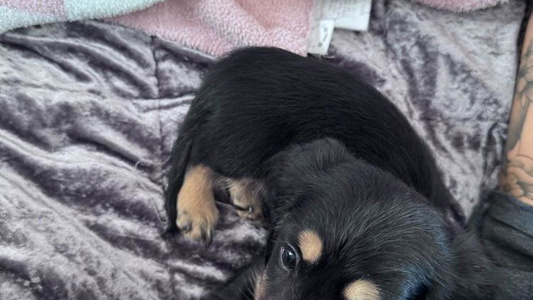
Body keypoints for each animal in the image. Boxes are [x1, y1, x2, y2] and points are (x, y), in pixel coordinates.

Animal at [164, 48, 492, 298]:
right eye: (289, 256)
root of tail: (228, 65)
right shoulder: (258, 271)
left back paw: (248, 197)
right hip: (248, 142)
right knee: (202, 157)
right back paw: (196, 209)